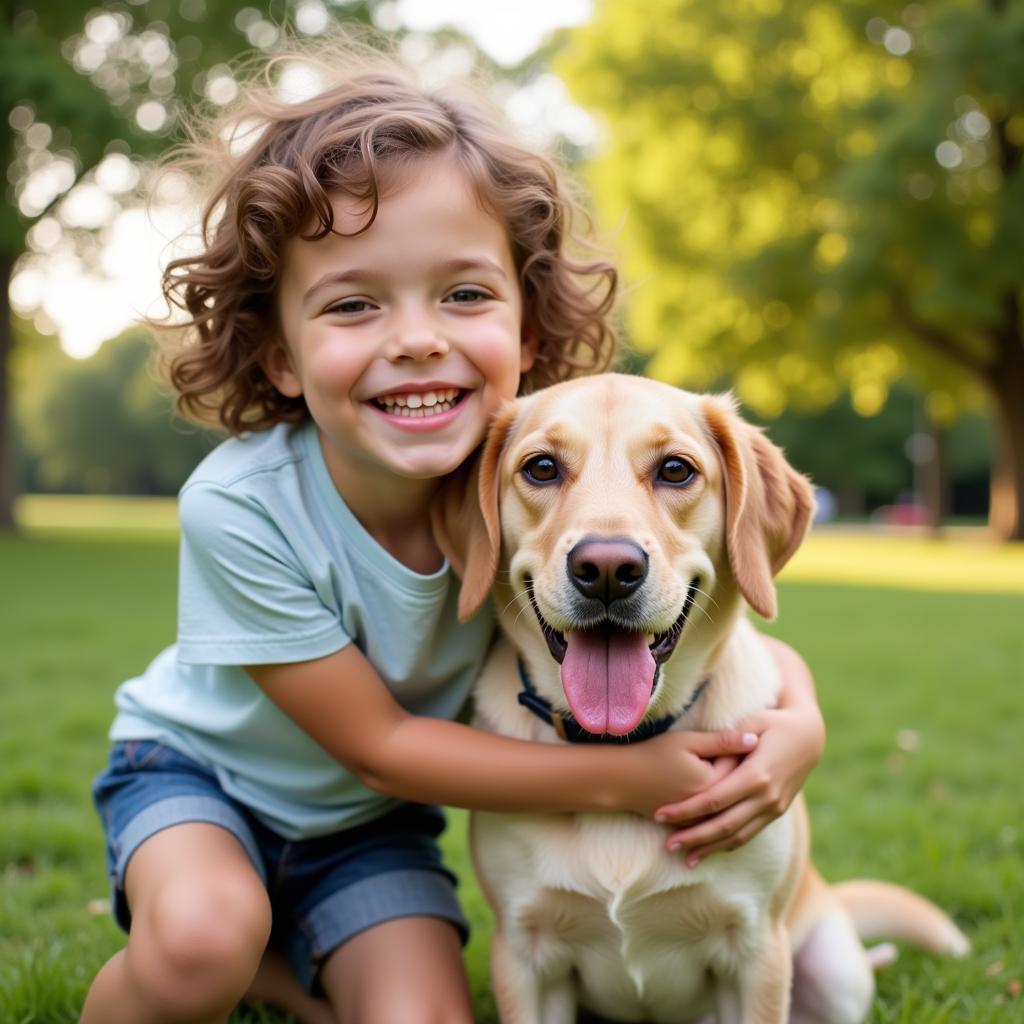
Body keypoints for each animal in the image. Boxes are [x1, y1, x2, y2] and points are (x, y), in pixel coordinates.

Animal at [436, 376, 970, 1024]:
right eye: (541, 467)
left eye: (675, 469)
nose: (607, 568)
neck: (620, 747)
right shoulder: (524, 953)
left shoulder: (756, 951)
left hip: (835, 974)